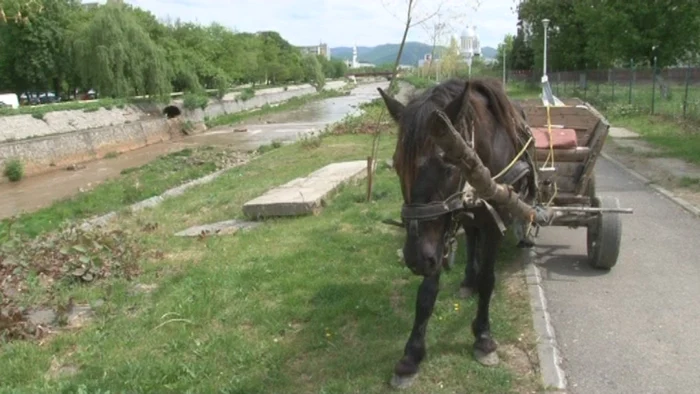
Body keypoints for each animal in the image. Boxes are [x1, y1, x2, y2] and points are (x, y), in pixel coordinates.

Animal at [378, 77, 536, 388]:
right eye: (397, 164)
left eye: (449, 167)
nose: (415, 258)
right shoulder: (437, 236)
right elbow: (427, 293)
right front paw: (411, 356)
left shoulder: (494, 223)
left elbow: (489, 280)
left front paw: (484, 337)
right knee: (472, 237)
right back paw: (467, 280)